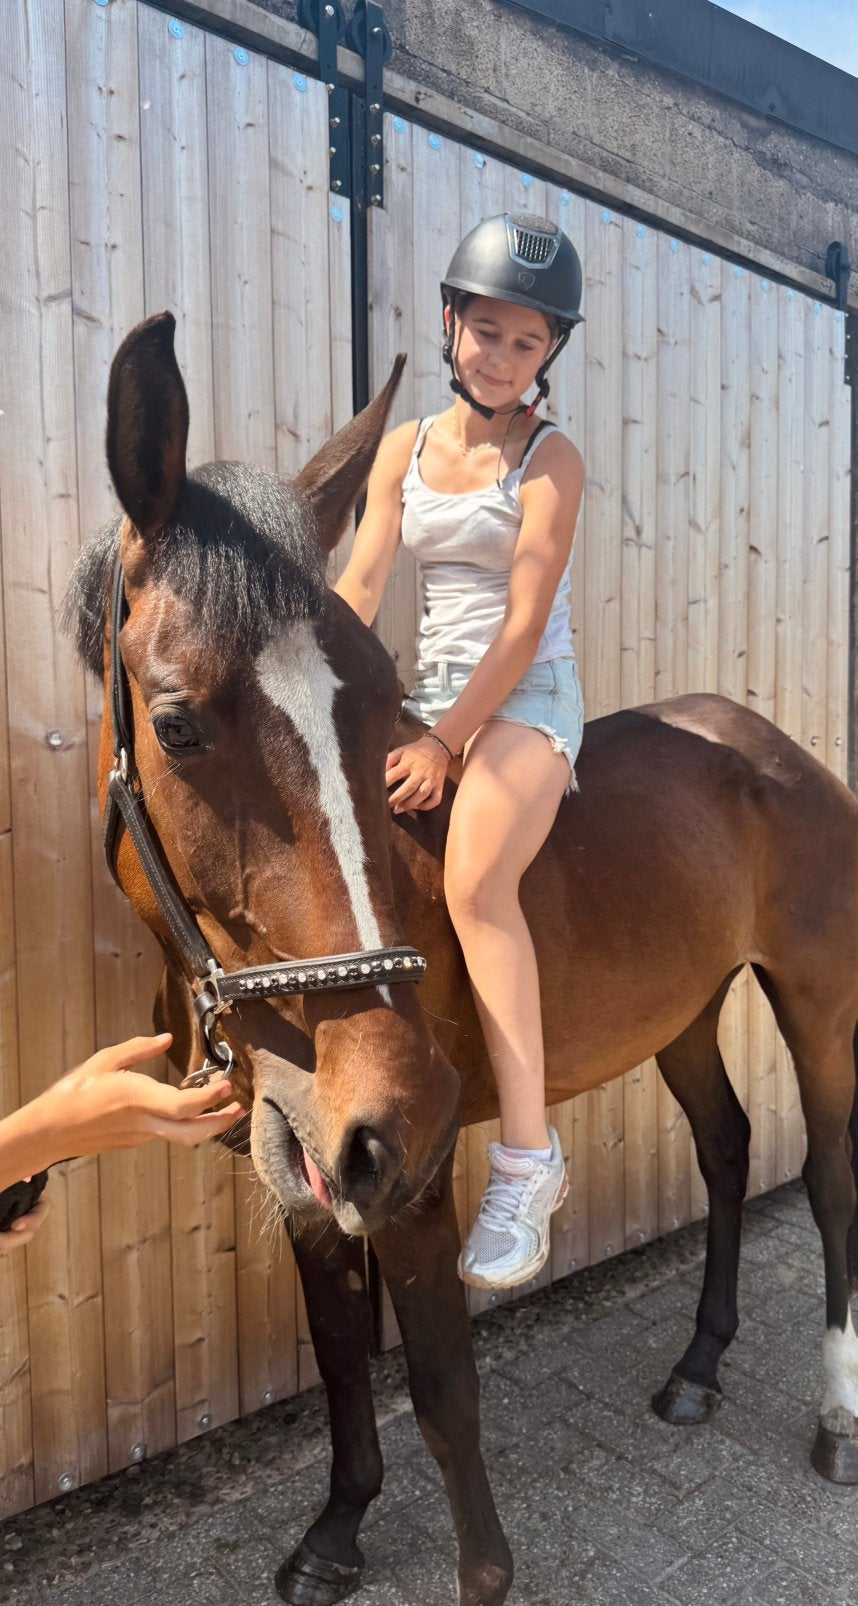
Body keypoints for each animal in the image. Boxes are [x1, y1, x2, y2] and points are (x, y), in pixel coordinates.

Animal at [64, 312, 858, 1606]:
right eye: (175, 723)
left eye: (383, 705)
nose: (389, 1102)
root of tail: (775, 747)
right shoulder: (315, 1164)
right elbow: (343, 1360)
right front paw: (337, 1530)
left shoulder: (411, 1177)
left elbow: (441, 1389)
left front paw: (481, 1572)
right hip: (683, 1014)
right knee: (731, 1149)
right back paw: (698, 1365)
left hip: (816, 1000)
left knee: (830, 1179)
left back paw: (836, 1415)